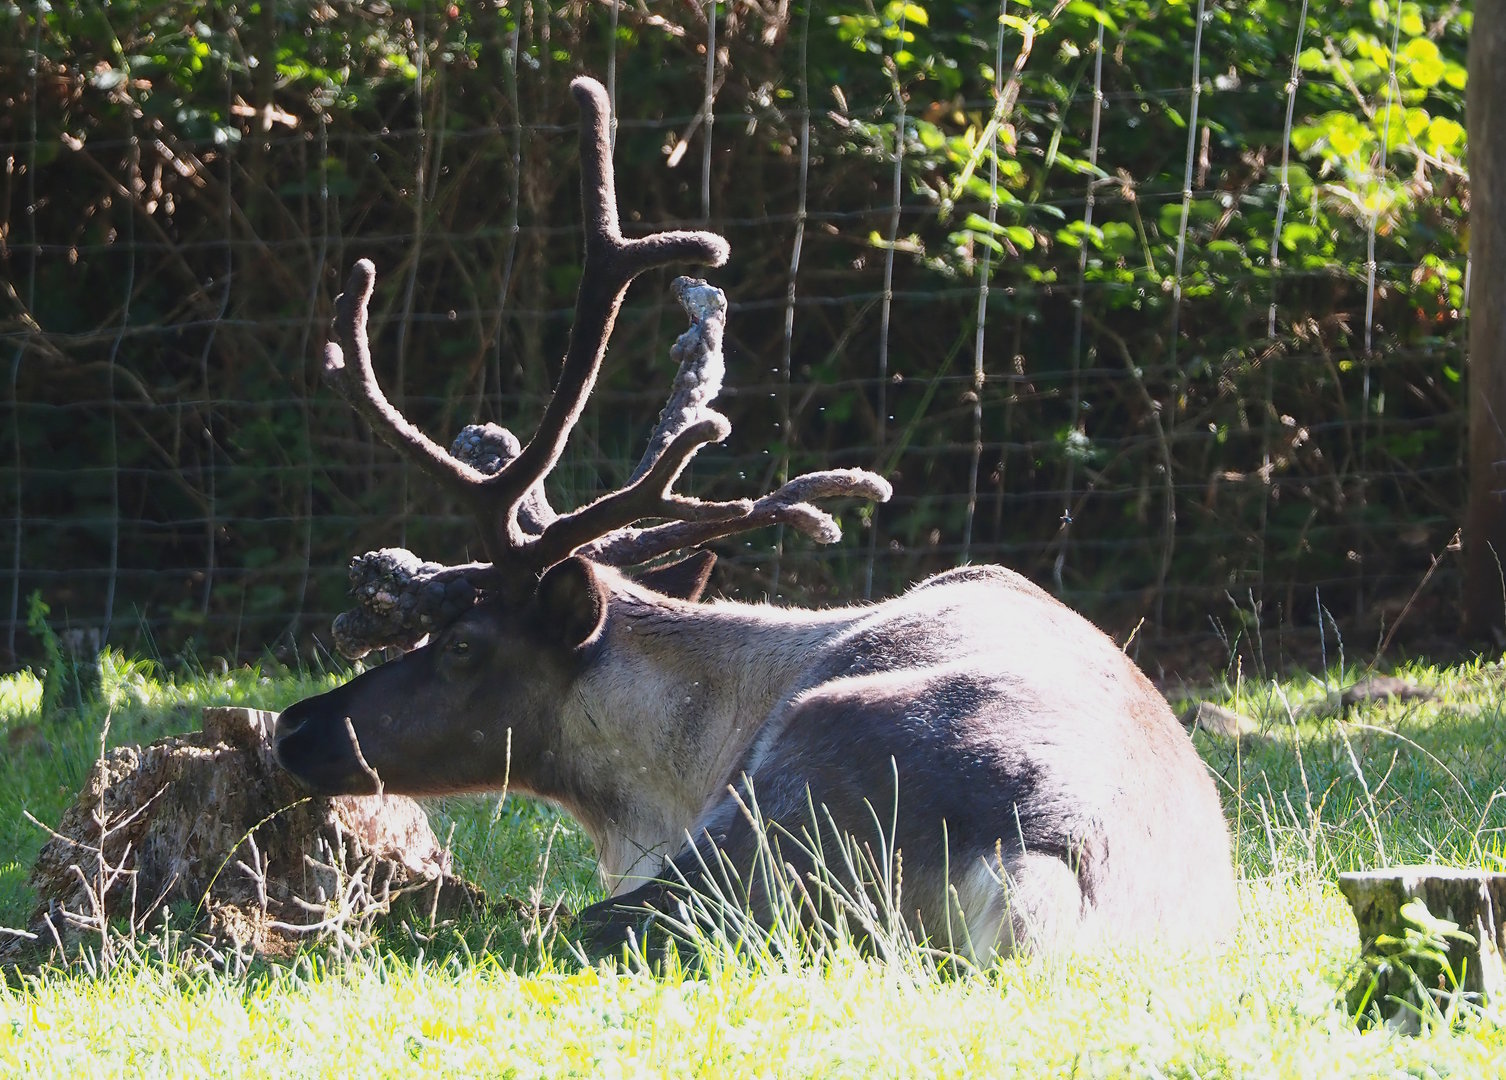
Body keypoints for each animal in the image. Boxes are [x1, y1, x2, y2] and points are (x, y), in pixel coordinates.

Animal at [273, 77, 1237, 961]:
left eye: (463, 645)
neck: (678, 764)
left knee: (584, 925)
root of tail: (1043, 865)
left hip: (781, 808)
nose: (294, 726)